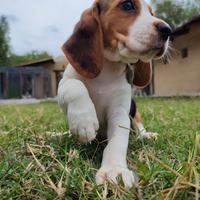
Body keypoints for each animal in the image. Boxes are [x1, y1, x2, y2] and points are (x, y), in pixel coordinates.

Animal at [57, 0, 170, 188]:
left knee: (138, 126)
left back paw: (146, 135)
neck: (107, 69)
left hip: (134, 108)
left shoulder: (120, 112)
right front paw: (84, 122)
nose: (168, 30)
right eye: (128, 5)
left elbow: (117, 142)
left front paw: (114, 170)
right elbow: (75, 86)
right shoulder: (64, 84)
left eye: (151, 13)